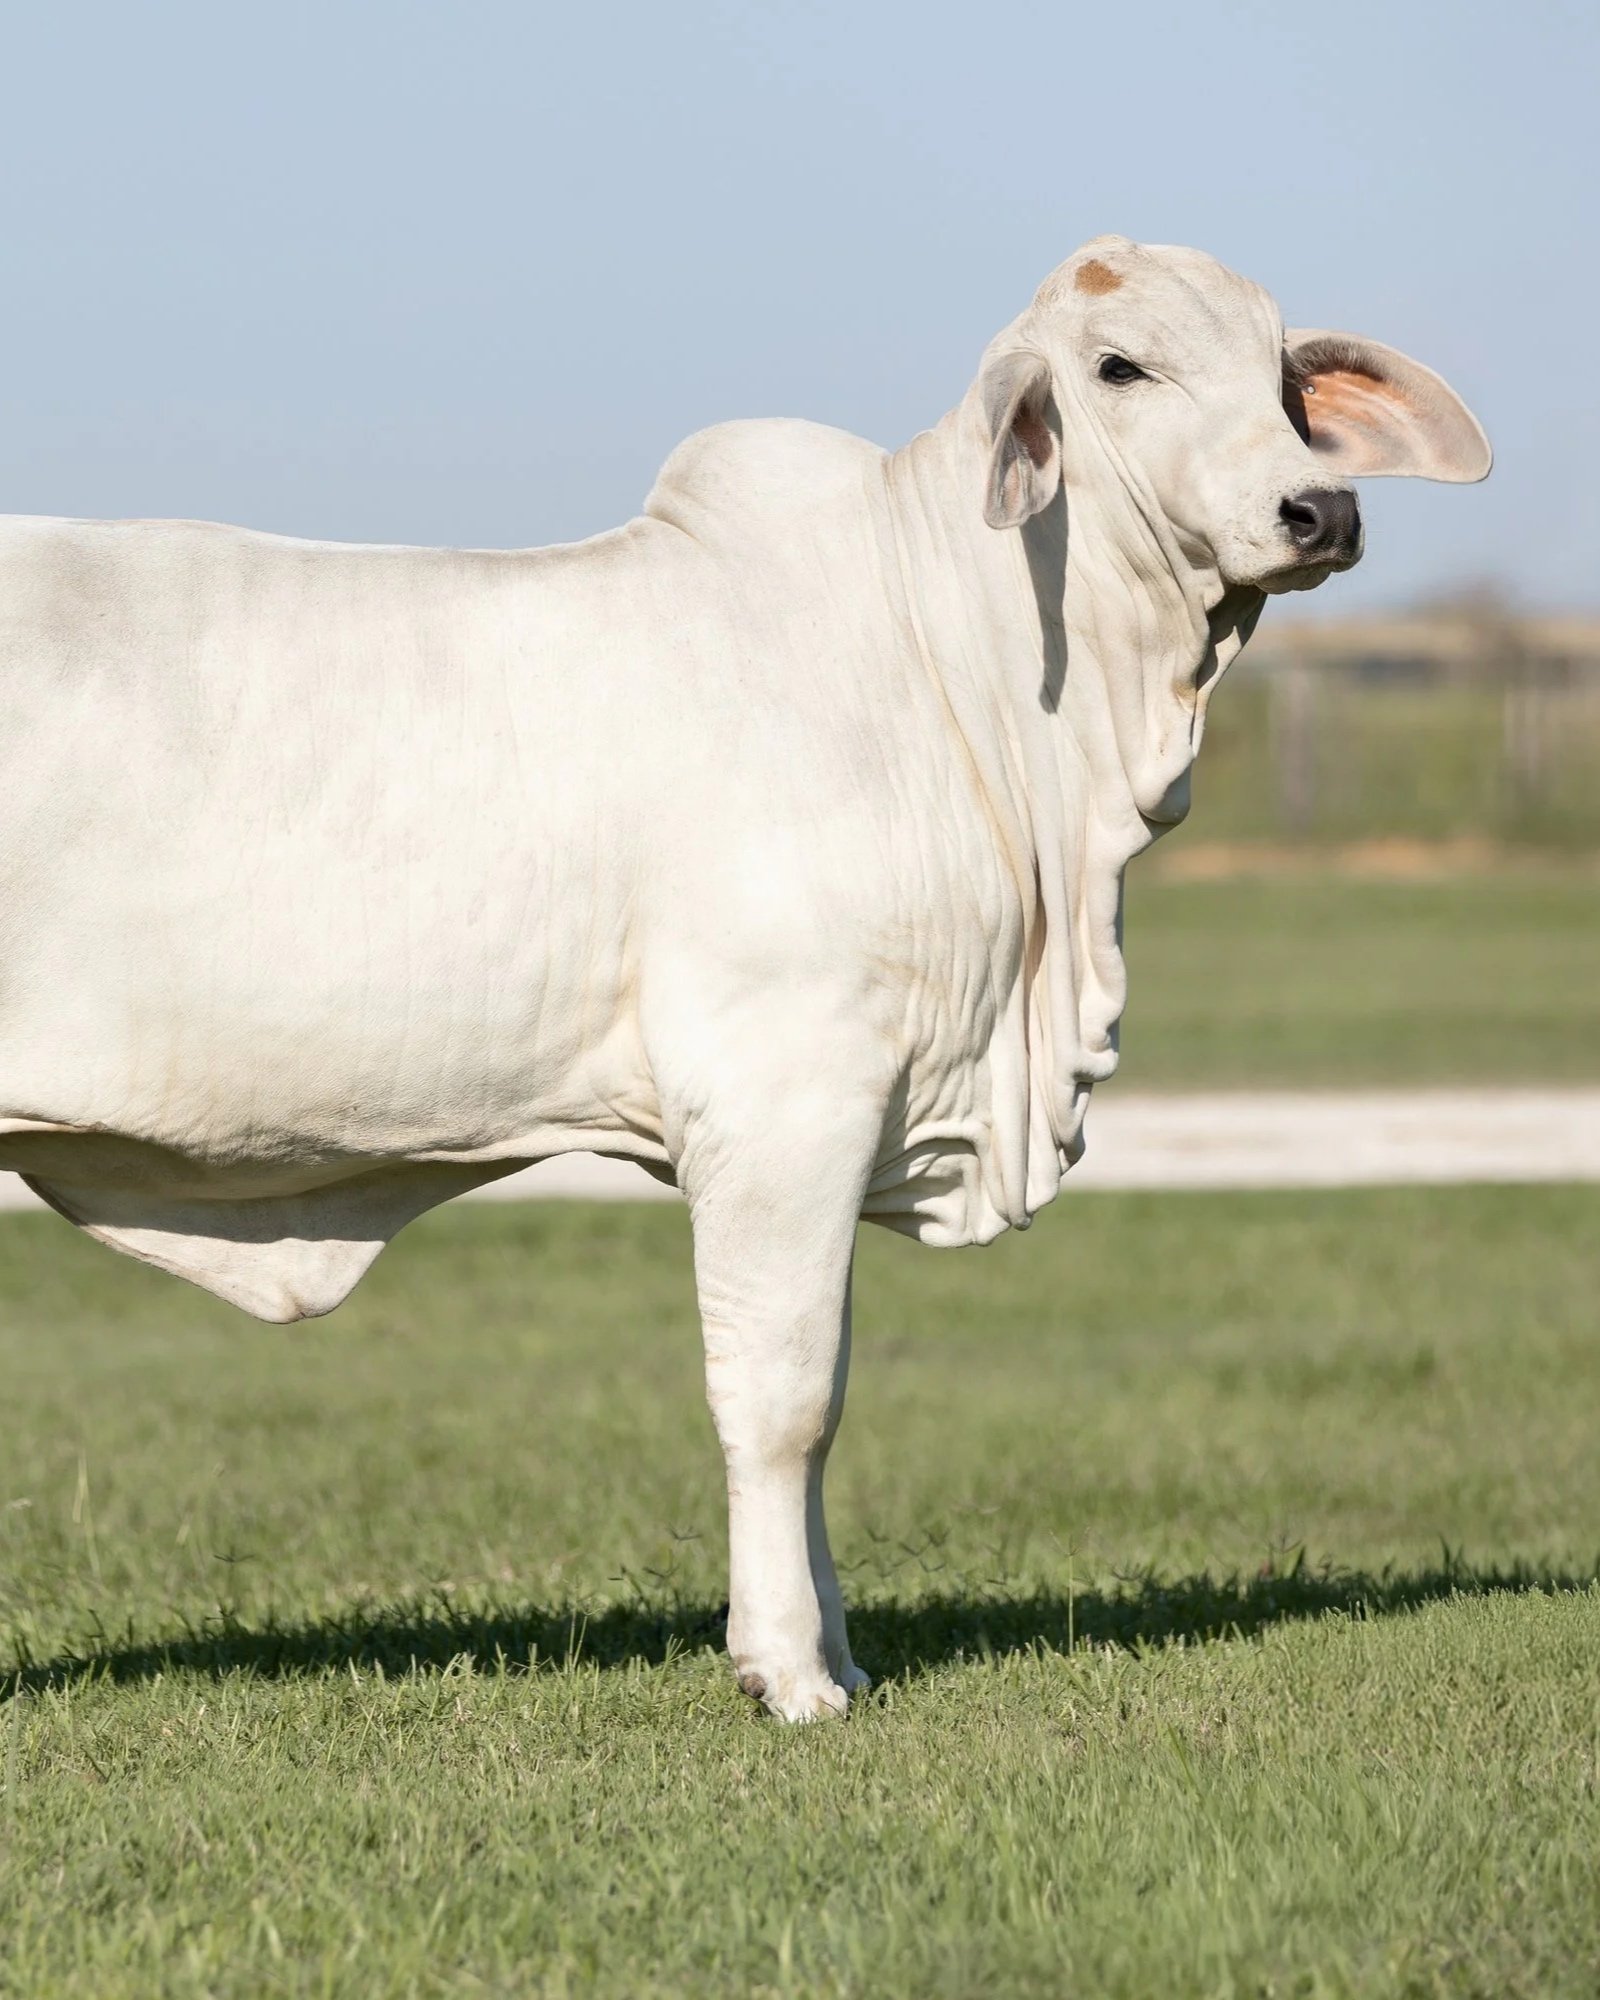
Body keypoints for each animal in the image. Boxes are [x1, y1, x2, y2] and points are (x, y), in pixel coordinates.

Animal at [0, 237, 1489, 1717]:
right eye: (1120, 367)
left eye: (1285, 375)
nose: (1317, 509)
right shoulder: (787, 1090)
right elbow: (781, 1394)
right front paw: (788, 1671)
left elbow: (829, 1382)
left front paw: (834, 1647)